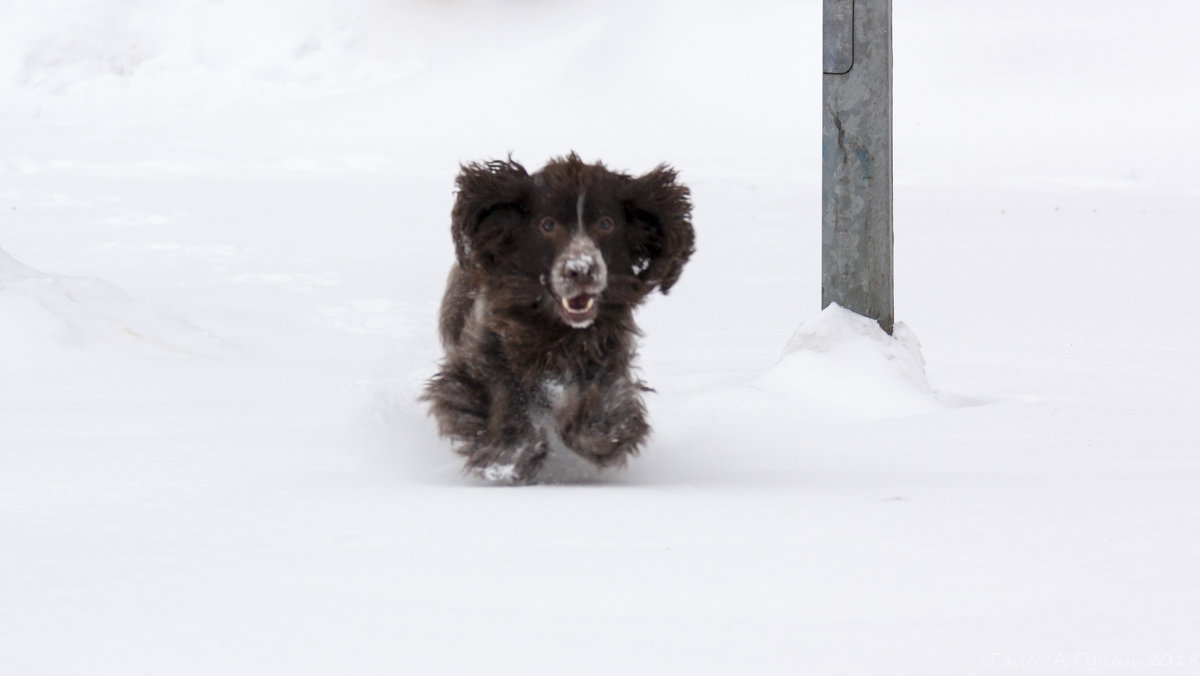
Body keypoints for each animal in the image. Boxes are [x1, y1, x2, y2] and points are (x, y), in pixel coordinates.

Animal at [427, 154, 700, 480]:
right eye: (548, 224)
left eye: (606, 223)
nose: (581, 269)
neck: (555, 330)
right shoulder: (485, 345)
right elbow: (498, 386)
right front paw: (509, 452)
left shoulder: (606, 346)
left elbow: (602, 391)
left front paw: (602, 432)